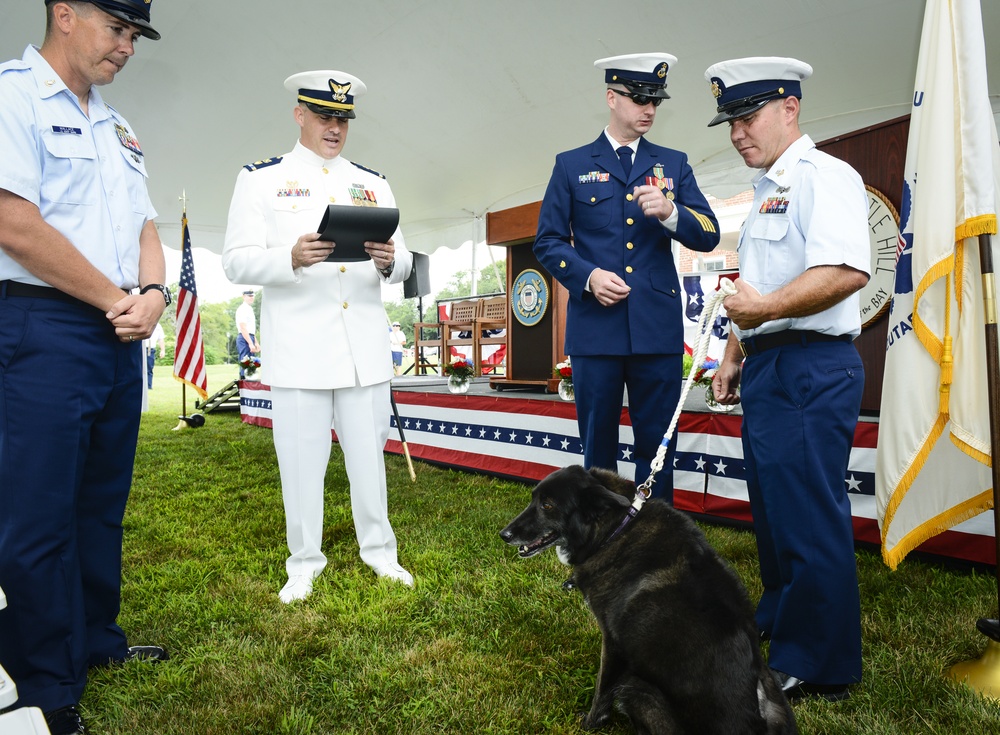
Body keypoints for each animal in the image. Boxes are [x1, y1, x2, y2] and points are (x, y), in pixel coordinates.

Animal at [500, 468, 796, 732]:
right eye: (533, 499)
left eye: (547, 505)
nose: (504, 534)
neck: (615, 530)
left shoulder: (613, 643)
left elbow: (602, 691)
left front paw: (589, 724)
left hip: (636, 688)